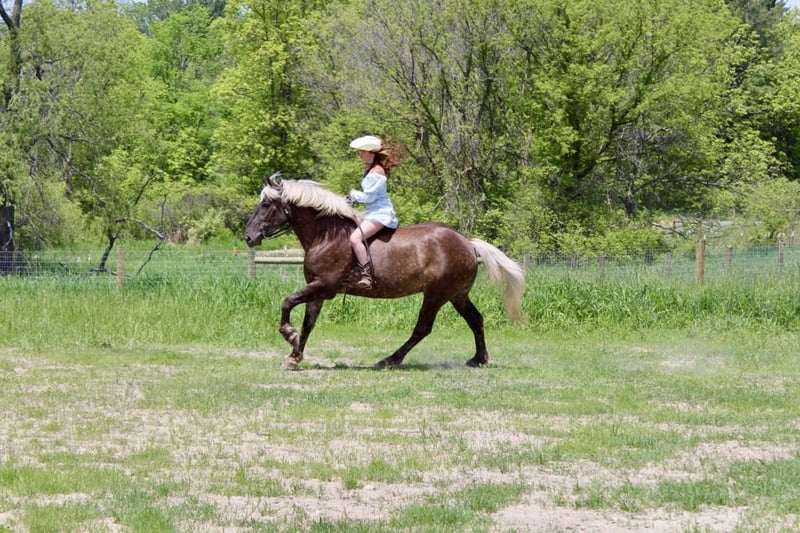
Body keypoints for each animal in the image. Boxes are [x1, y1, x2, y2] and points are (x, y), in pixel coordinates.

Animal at [244, 174, 525, 370]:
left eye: (266, 204)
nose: (248, 237)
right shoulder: (317, 290)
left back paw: (389, 360)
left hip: (436, 294)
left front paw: (288, 335)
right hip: (457, 295)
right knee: (475, 319)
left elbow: (287, 302)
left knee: (422, 328)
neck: (326, 235)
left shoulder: (324, 286)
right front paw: (294, 357)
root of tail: (467, 242)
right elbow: (308, 324)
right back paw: (478, 359)